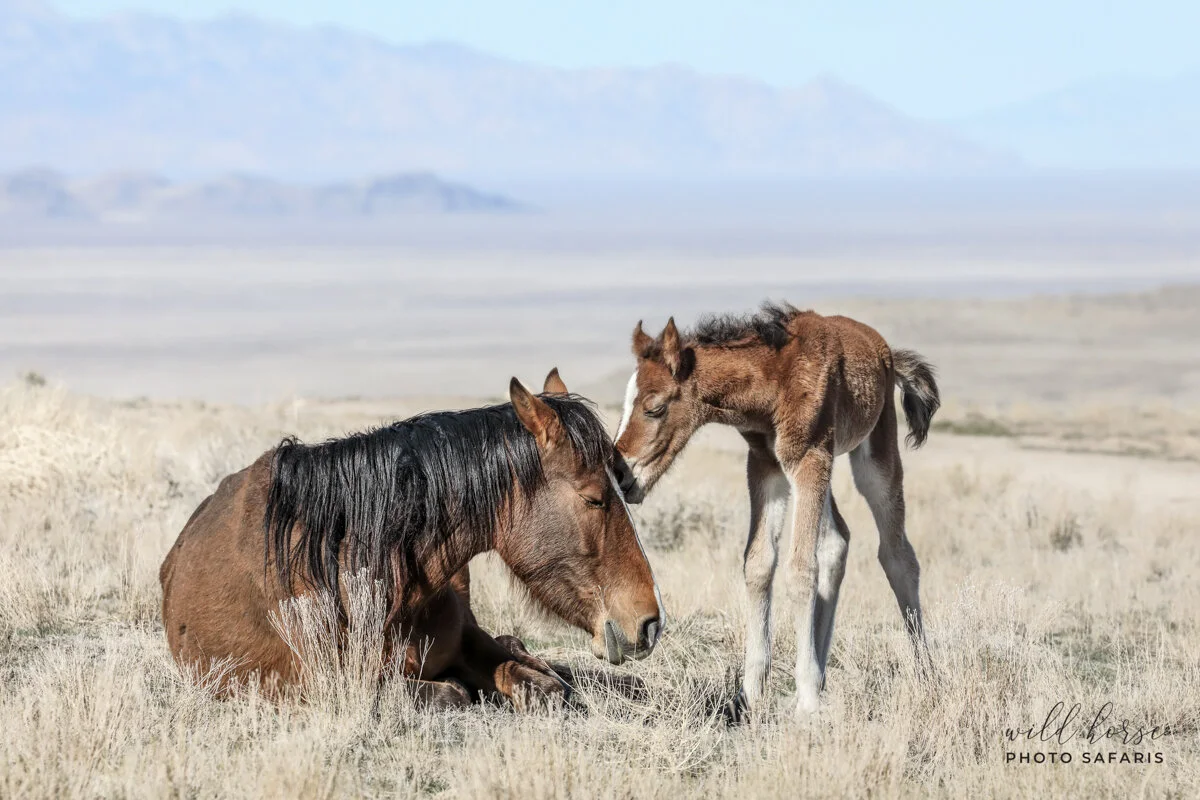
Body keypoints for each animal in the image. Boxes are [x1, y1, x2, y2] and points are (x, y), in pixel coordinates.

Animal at [160, 370, 665, 710]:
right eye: (595, 498)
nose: (650, 623)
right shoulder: (329, 686)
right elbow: (455, 693)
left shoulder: (469, 640)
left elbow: (535, 681)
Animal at [611, 302, 940, 718]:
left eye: (654, 408)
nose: (619, 474)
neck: (773, 382)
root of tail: (887, 353)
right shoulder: (766, 464)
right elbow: (759, 563)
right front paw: (750, 694)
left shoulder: (808, 458)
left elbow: (800, 569)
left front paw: (808, 701)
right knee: (838, 542)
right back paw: (821, 671)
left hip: (874, 454)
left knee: (897, 554)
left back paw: (925, 677)